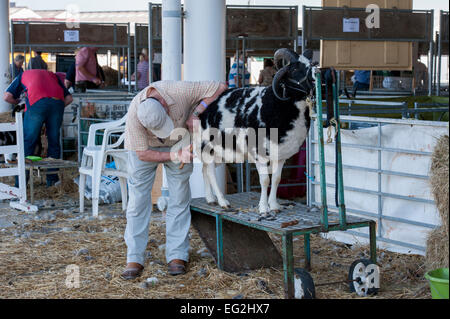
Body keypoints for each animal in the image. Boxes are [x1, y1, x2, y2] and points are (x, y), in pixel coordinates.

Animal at [194, 48, 316, 218]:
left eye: (311, 64)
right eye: (294, 69)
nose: (316, 80)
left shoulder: (281, 154)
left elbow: (276, 179)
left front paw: (274, 206)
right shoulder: (259, 153)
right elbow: (265, 181)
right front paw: (264, 209)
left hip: (220, 152)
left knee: (204, 169)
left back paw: (210, 199)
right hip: (206, 145)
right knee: (210, 171)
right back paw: (222, 201)